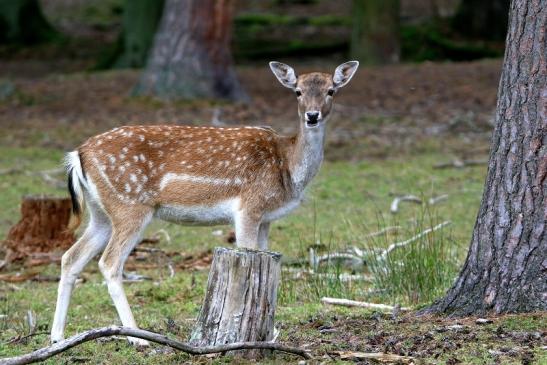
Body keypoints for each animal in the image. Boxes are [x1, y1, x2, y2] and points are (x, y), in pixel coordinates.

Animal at [51, 60, 360, 344]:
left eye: (331, 90)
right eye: (297, 91)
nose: (312, 115)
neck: (288, 170)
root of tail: (77, 154)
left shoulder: (266, 218)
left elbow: (268, 263)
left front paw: (270, 334)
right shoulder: (249, 207)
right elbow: (248, 254)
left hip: (101, 213)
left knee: (71, 257)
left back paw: (57, 337)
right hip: (129, 205)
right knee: (109, 263)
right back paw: (137, 337)